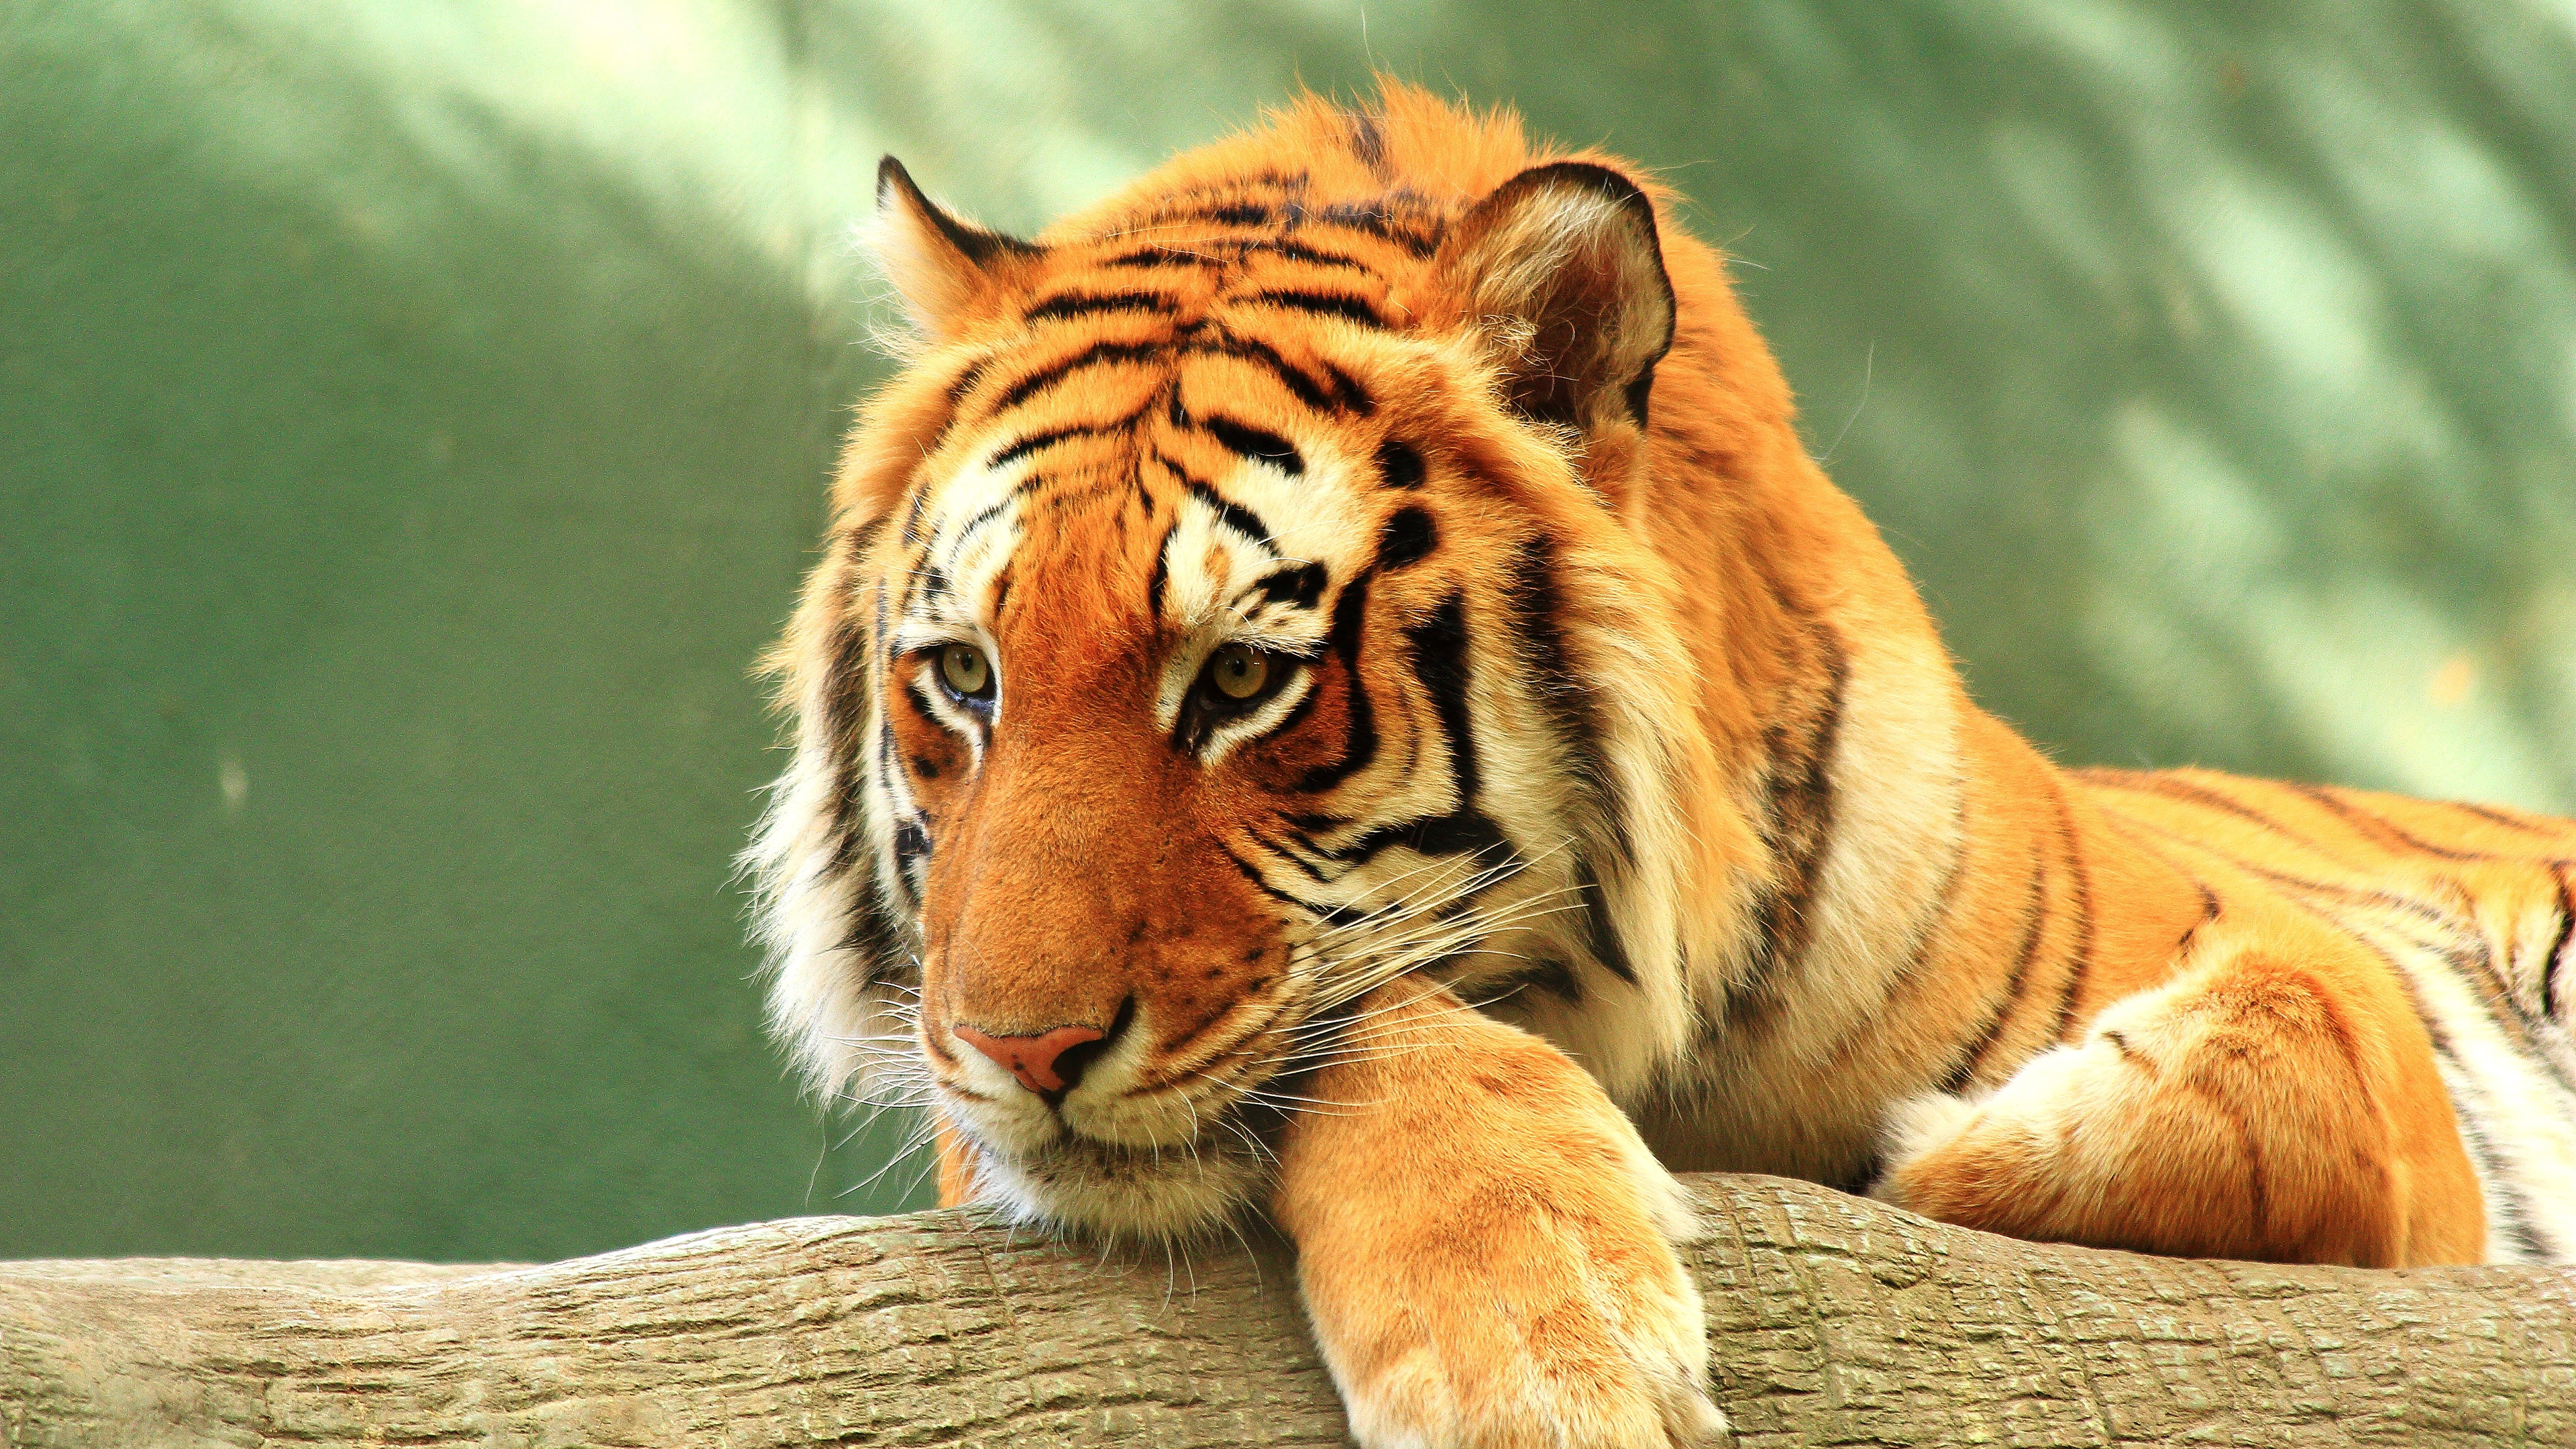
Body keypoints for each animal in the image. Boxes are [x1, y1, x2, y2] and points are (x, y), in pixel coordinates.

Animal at [747, 81, 2576, 1448]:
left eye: (1246, 680)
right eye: (964, 678)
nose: (1015, 1050)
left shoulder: (2337, 1015)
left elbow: (2296, 1043)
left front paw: (1952, 1154)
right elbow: (1378, 1022)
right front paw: (1535, 1351)